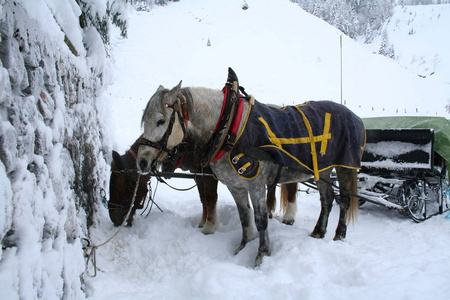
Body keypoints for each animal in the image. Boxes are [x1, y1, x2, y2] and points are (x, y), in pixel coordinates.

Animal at [138, 71, 366, 268]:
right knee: (327, 199)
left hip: (344, 167)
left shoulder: (256, 184)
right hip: (323, 170)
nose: (141, 162)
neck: (228, 127)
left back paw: (339, 234)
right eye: (144, 120)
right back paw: (318, 232)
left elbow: (260, 219)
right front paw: (244, 246)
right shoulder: (235, 186)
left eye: (161, 120)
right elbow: (244, 216)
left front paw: (261, 255)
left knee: (344, 200)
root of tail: (356, 117)